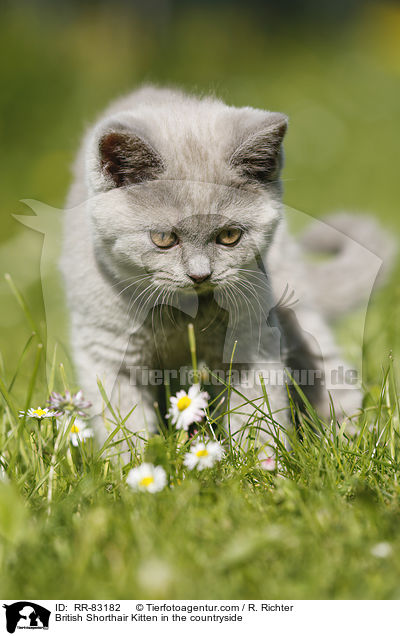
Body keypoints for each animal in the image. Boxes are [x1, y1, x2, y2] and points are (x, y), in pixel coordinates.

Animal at [61, 85, 390, 452]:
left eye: (230, 236)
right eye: (163, 238)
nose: (200, 275)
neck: (181, 317)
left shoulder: (250, 339)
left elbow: (257, 413)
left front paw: (261, 462)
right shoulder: (108, 351)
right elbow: (123, 425)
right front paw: (134, 464)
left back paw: (349, 442)